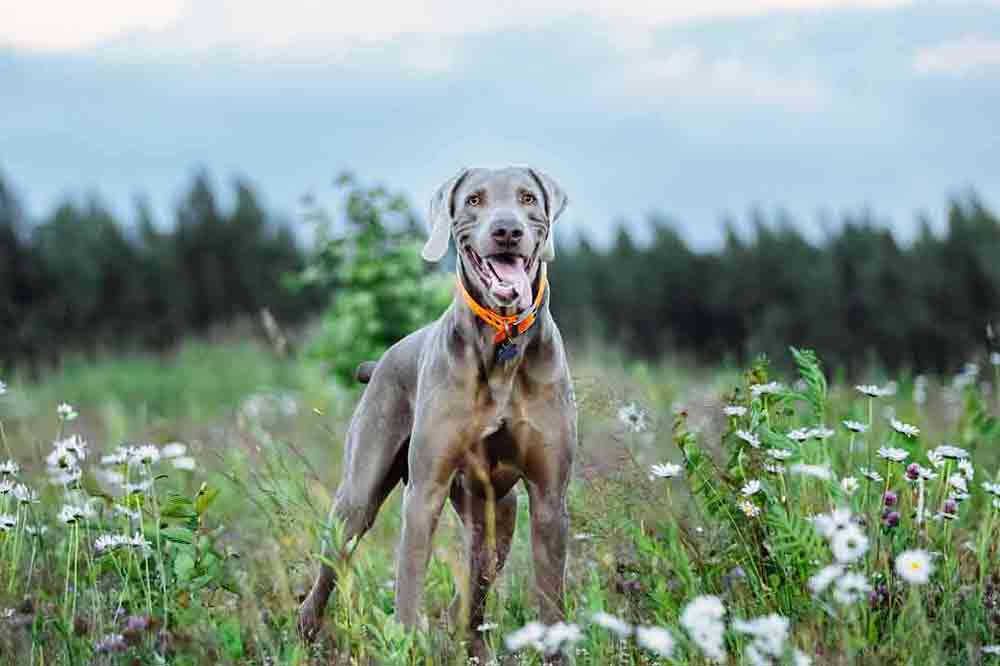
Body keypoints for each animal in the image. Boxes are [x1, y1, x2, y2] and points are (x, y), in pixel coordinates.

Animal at [296, 166, 580, 660]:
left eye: (527, 198)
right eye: (474, 200)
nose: (507, 230)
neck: (502, 344)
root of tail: (381, 360)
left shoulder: (549, 498)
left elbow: (550, 599)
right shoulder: (424, 491)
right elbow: (408, 587)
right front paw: (406, 644)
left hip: (497, 515)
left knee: (472, 592)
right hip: (358, 495)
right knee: (332, 565)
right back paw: (307, 632)